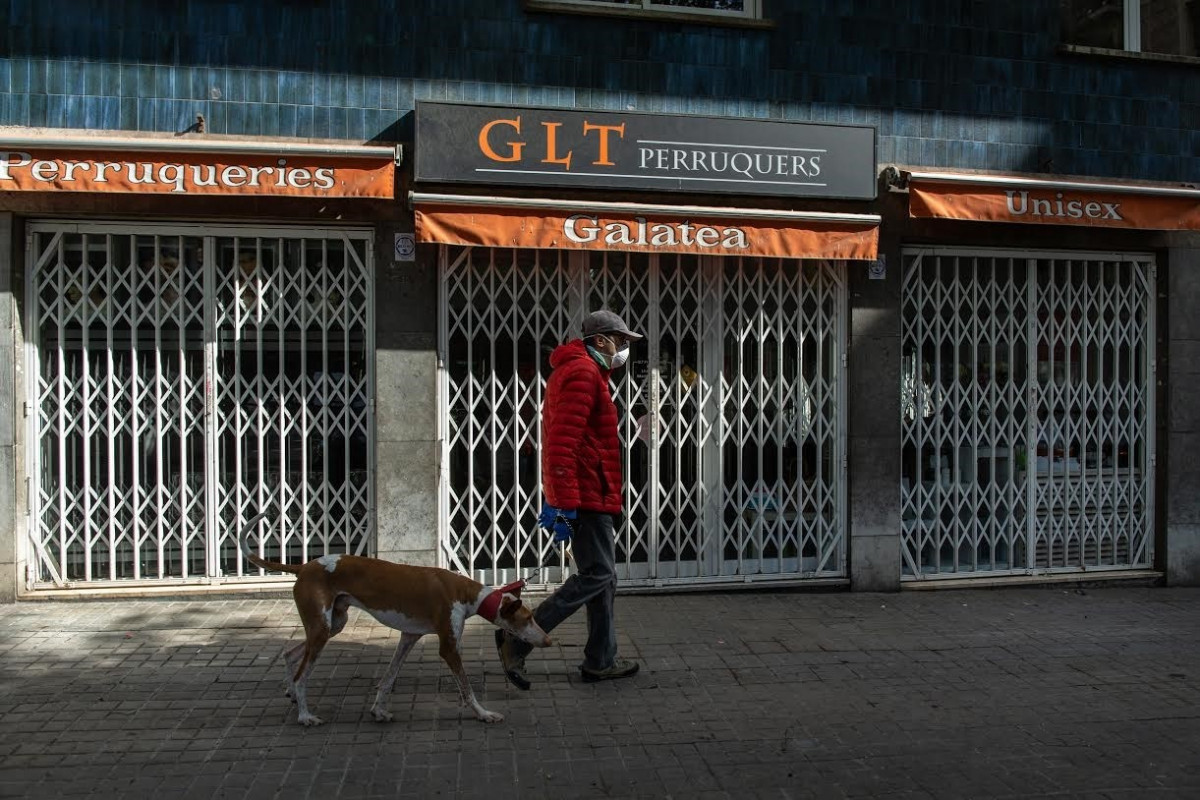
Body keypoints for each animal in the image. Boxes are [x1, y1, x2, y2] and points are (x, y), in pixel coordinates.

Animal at [235, 513, 552, 724]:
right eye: (527, 618)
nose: (548, 640)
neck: (466, 592)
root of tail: (305, 566)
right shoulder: (449, 647)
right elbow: (466, 687)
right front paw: (483, 713)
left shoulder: (409, 637)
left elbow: (389, 676)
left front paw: (378, 709)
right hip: (322, 629)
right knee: (302, 673)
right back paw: (304, 715)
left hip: (332, 624)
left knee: (290, 654)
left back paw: (291, 693)